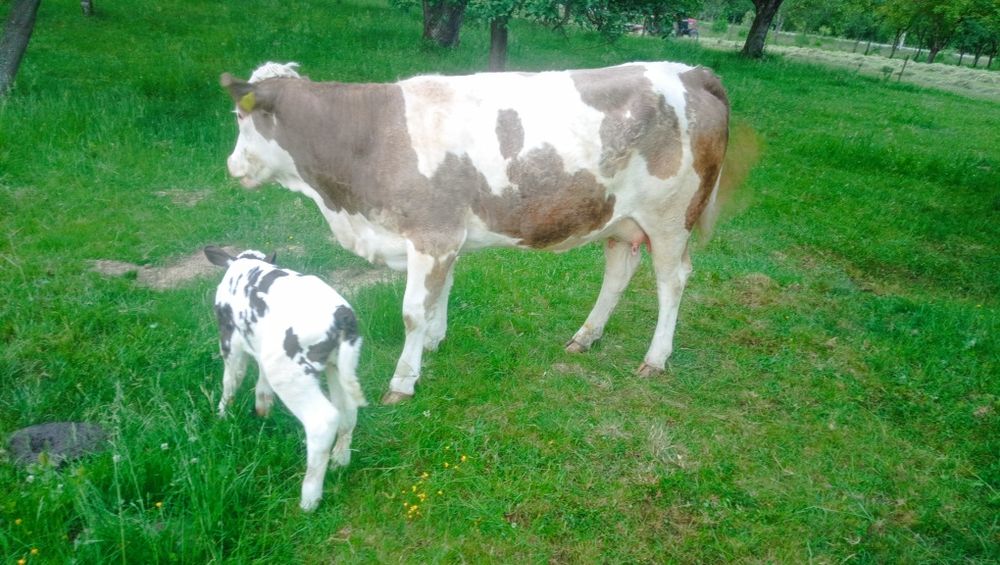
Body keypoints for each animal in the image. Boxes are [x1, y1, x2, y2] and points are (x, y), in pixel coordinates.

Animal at [220, 61, 730, 405]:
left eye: (240, 118)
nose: (230, 166)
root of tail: (690, 71)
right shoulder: (444, 239)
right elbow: (440, 294)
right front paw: (433, 341)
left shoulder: (432, 234)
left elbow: (412, 311)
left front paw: (404, 379)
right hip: (619, 218)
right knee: (619, 272)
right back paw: (586, 336)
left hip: (670, 215)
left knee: (672, 281)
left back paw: (656, 358)